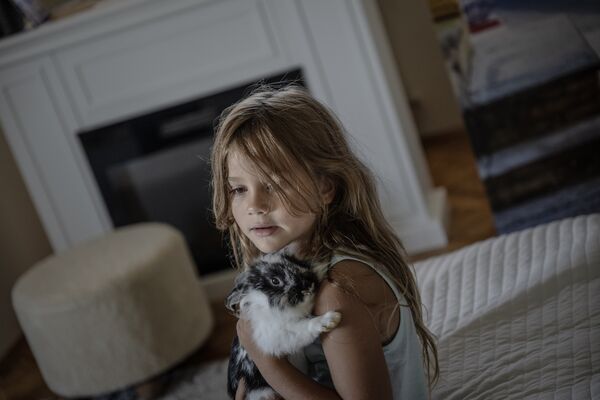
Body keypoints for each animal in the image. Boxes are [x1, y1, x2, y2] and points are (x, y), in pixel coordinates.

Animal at [225, 249, 342, 400]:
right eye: (275, 281)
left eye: (296, 262)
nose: (307, 284)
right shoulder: (276, 335)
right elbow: (305, 327)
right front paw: (331, 319)